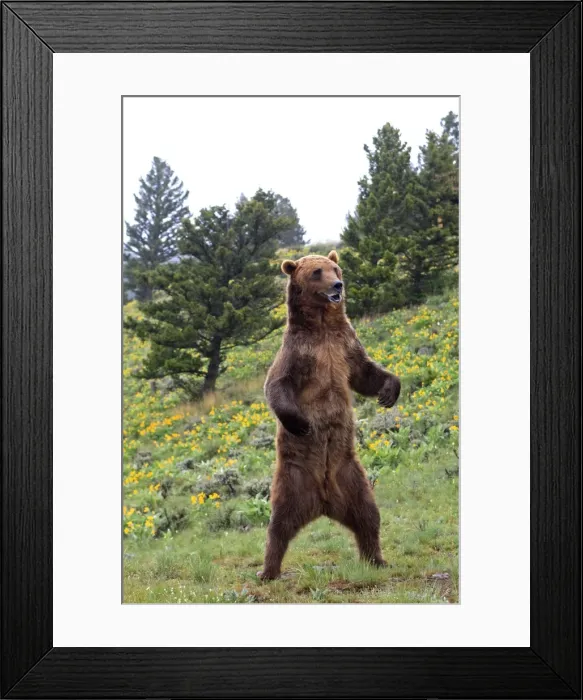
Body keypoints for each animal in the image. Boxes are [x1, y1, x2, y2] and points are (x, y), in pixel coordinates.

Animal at [258, 250, 401, 580]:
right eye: (316, 272)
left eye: (336, 267)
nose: (338, 285)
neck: (322, 327)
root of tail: (322, 502)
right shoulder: (299, 353)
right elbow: (276, 385)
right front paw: (302, 423)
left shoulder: (345, 346)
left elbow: (365, 373)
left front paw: (390, 391)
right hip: (292, 479)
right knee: (278, 526)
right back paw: (268, 571)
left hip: (351, 477)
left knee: (368, 515)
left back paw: (376, 558)